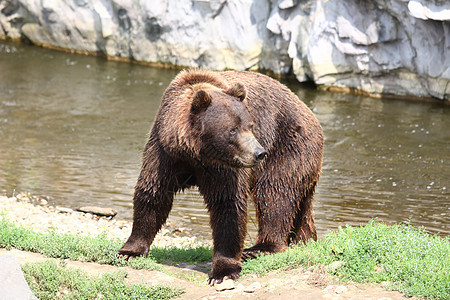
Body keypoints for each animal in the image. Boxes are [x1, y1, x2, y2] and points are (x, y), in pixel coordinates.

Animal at [118, 69, 324, 284]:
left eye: (250, 125)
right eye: (232, 129)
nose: (259, 153)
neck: (195, 153)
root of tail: (309, 112)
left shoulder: (224, 168)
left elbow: (228, 206)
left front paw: (223, 271)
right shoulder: (165, 152)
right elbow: (153, 193)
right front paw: (130, 251)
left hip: (288, 146)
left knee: (275, 194)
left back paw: (262, 247)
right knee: (299, 205)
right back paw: (303, 239)